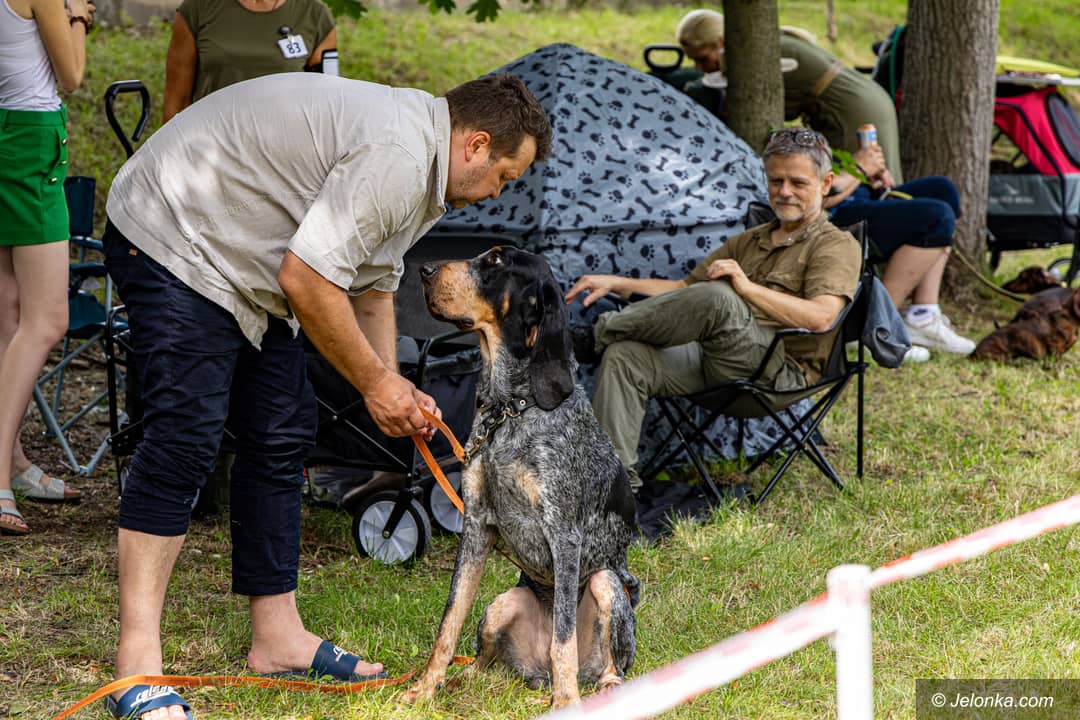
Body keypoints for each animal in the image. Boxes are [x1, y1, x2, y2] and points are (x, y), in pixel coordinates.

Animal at [400, 246, 640, 708]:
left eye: (495, 262)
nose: (423, 269)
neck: (509, 408)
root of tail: (537, 675)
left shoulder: (565, 536)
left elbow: (563, 638)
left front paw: (566, 704)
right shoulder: (476, 526)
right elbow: (449, 621)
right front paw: (424, 688)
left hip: (605, 583)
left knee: (610, 663)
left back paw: (601, 686)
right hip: (502, 603)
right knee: (484, 659)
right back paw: (464, 679)